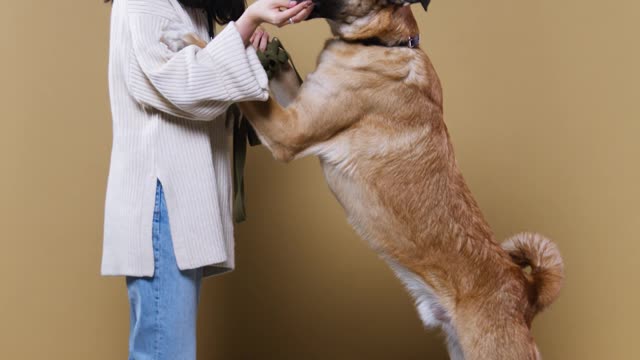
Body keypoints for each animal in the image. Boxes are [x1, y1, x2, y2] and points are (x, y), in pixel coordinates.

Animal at [166, 1, 564, 358]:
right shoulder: (300, 105)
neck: (382, 43)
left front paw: (195, 42)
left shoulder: (289, 131)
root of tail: (525, 289)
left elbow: (244, 87)